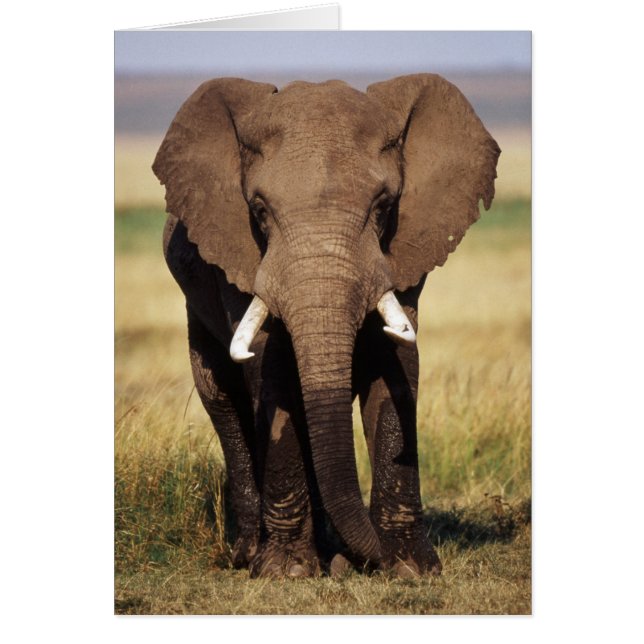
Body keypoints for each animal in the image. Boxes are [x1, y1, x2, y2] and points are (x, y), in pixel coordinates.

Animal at [152, 74, 500, 578]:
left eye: (383, 207)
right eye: (259, 210)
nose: (362, 559)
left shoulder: (402, 253)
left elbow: (397, 365)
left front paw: (408, 568)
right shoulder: (239, 256)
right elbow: (271, 370)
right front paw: (288, 572)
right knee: (222, 399)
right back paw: (253, 555)